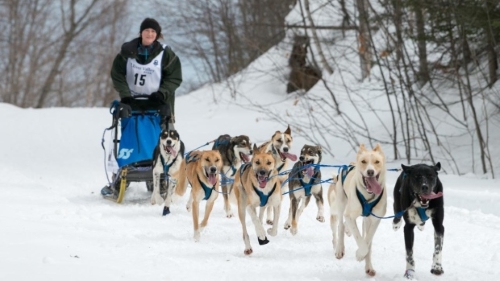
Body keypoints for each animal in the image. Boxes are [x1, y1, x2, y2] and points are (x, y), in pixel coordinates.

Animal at [330, 144, 388, 276]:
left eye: (377, 161)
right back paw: (340, 249)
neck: (368, 197)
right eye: (363, 161)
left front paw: (366, 262)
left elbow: (368, 241)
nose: (370, 171)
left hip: (366, 219)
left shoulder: (375, 219)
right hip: (341, 204)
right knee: (340, 225)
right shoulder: (349, 215)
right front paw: (360, 254)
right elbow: (359, 239)